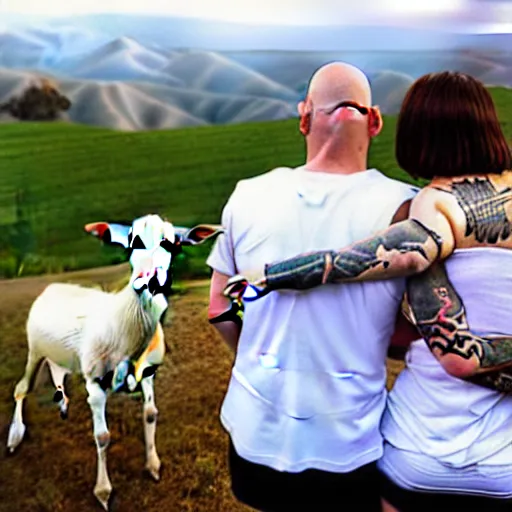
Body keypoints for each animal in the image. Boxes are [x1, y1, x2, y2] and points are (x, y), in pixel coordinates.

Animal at [5, 214, 222, 510]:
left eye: (172, 244)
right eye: (131, 242)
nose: (148, 281)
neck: (126, 320)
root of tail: (54, 286)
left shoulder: (148, 372)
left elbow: (150, 414)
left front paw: (153, 466)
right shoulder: (95, 381)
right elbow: (103, 437)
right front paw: (104, 492)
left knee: (57, 372)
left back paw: (62, 403)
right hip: (35, 348)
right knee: (21, 388)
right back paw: (14, 437)